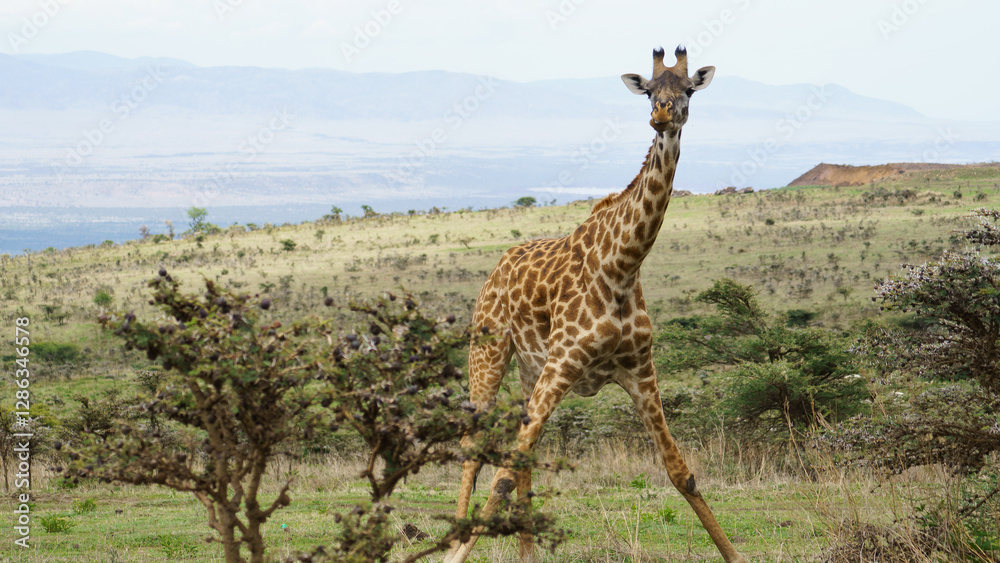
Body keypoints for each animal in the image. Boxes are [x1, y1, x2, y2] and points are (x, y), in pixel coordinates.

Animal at [444, 46, 747, 563]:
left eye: (688, 90)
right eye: (648, 90)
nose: (661, 116)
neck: (622, 265)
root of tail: (495, 269)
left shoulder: (640, 370)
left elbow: (680, 471)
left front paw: (734, 553)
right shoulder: (565, 363)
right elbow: (499, 476)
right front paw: (456, 552)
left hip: (529, 369)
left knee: (522, 456)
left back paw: (528, 554)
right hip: (489, 351)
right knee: (474, 446)